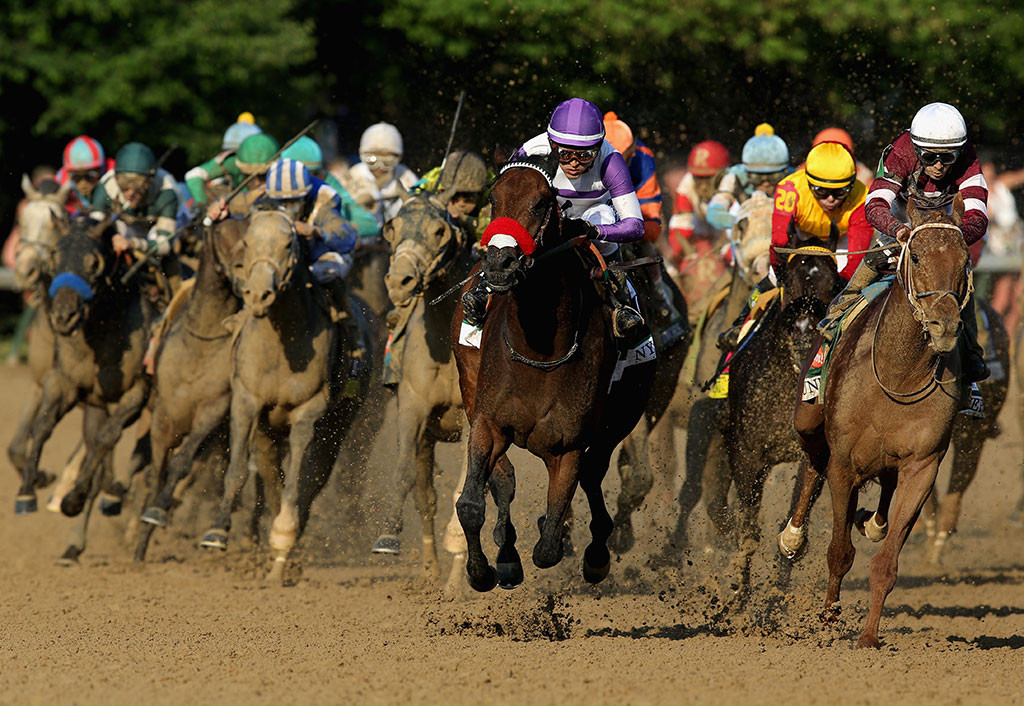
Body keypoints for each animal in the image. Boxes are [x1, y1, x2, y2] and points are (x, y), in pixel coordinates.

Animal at [198, 208, 379, 581]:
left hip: (339, 426)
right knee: (270, 476)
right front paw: (217, 531)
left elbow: (298, 479)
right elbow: (238, 470)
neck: (283, 342)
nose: (258, 295)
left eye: (287, 244)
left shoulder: (309, 411)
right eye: (247, 242)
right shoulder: (246, 401)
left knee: (314, 478)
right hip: (268, 434)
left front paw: (283, 536)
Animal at [452, 150, 656, 591]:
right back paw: (507, 554)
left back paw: (595, 552)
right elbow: (472, 503)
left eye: (543, 202)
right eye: (493, 198)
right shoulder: (487, 422)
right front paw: (482, 571)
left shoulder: (568, 445)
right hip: (470, 388)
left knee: (594, 473)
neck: (538, 351)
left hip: (626, 410)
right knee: (505, 478)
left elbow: (548, 546)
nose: (499, 262)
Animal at [785, 195, 972, 648]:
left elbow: (886, 563)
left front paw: (868, 637)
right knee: (812, 463)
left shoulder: (922, 465)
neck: (898, 373)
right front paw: (828, 623)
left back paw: (873, 522)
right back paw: (793, 534)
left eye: (964, 260)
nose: (944, 325)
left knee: (884, 492)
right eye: (916, 255)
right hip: (809, 416)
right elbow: (838, 552)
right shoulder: (844, 465)